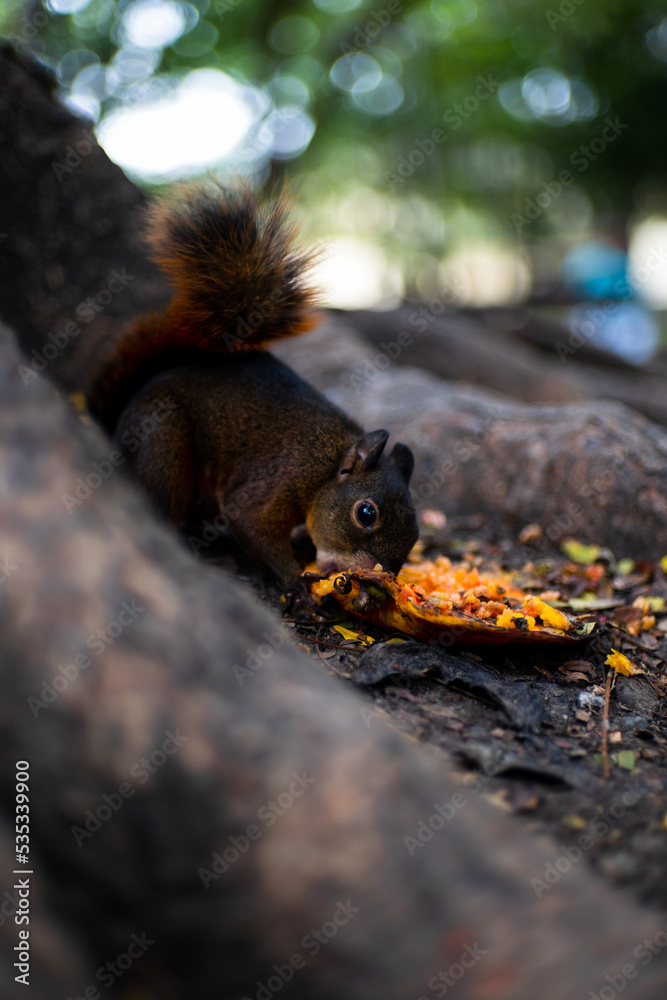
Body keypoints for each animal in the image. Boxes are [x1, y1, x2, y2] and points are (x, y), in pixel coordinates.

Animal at [88, 181, 418, 600]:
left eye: (416, 531)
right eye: (366, 513)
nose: (384, 577)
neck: (325, 466)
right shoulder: (279, 476)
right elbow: (250, 521)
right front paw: (297, 583)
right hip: (164, 438)